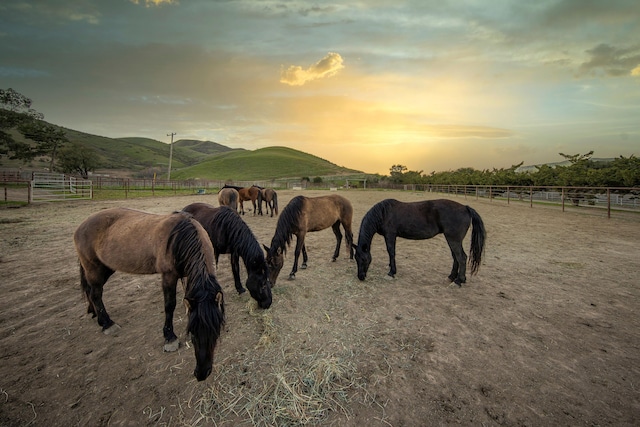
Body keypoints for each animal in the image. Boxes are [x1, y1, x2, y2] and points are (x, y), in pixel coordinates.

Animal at [73, 207, 225, 382]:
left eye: (216, 333)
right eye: (192, 334)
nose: (202, 373)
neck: (180, 238)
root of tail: (81, 227)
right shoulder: (168, 276)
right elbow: (169, 305)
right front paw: (170, 337)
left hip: (105, 268)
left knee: (92, 292)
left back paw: (96, 316)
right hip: (93, 268)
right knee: (96, 294)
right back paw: (107, 324)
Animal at [350, 199, 484, 286]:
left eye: (364, 259)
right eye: (356, 259)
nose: (360, 277)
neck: (384, 213)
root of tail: (465, 207)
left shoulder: (390, 235)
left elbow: (391, 252)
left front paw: (391, 272)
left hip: (453, 239)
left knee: (462, 257)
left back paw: (458, 281)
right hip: (451, 239)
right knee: (456, 257)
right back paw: (452, 277)